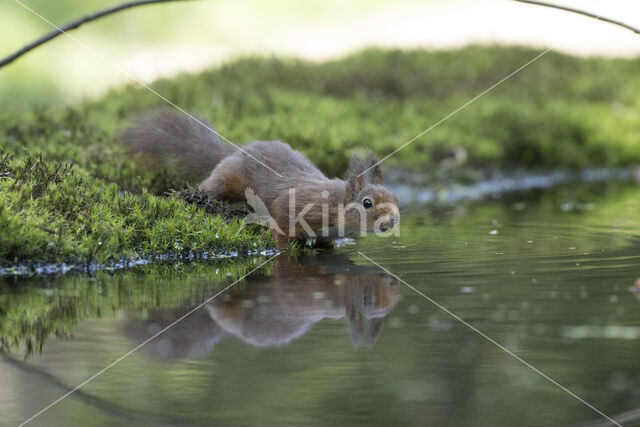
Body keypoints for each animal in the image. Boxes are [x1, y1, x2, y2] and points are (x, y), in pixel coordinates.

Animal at [120, 110, 398, 249]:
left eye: (395, 198)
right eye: (367, 203)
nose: (394, 218)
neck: (337, 203)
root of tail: (236, 150)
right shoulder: (299, 206)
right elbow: (282, 226)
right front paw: (277, 244)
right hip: (228, 179)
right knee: (211, 186)